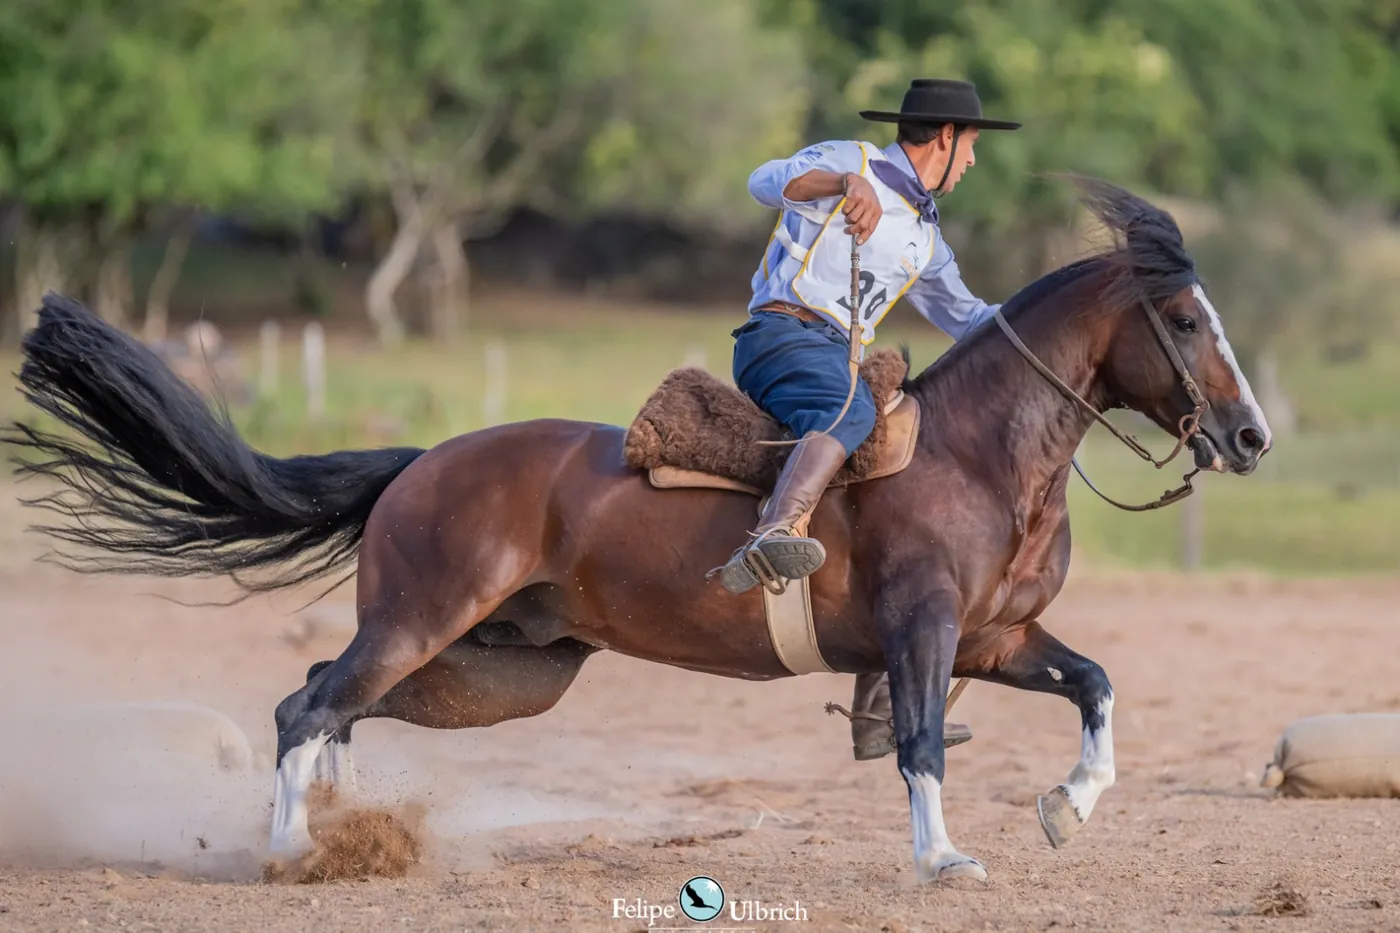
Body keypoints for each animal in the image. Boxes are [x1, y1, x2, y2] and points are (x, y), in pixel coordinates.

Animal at [4, 178, 1270, 884]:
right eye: (1179, 317)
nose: (1249, 435)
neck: (977, 456)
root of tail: (424, 461)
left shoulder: (997, 642)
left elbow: (1096, 687)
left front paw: (1066, 807)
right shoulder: (924, 636)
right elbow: (916, 744)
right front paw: (942, 860)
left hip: (499, 668)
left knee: (332, 701)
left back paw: (348, 831)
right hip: (423, 625)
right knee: (302, 705)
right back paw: (286, 851)